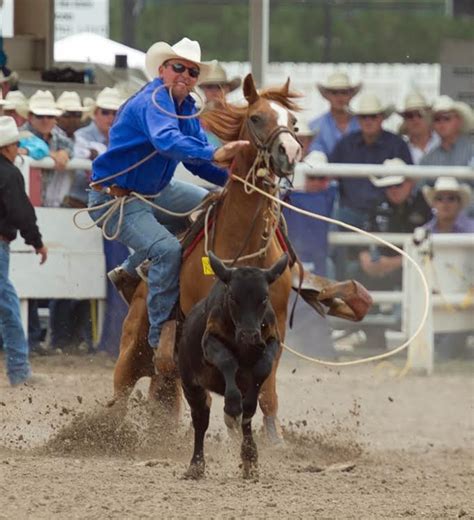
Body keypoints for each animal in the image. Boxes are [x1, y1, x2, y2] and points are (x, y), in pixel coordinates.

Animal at [109, 73, 302, 440]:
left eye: (293, 122)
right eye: (256, 117)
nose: (290, 151)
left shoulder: (277, 328)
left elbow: (267, 391)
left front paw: (273, 438)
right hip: (133, 346)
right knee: (120, 392)